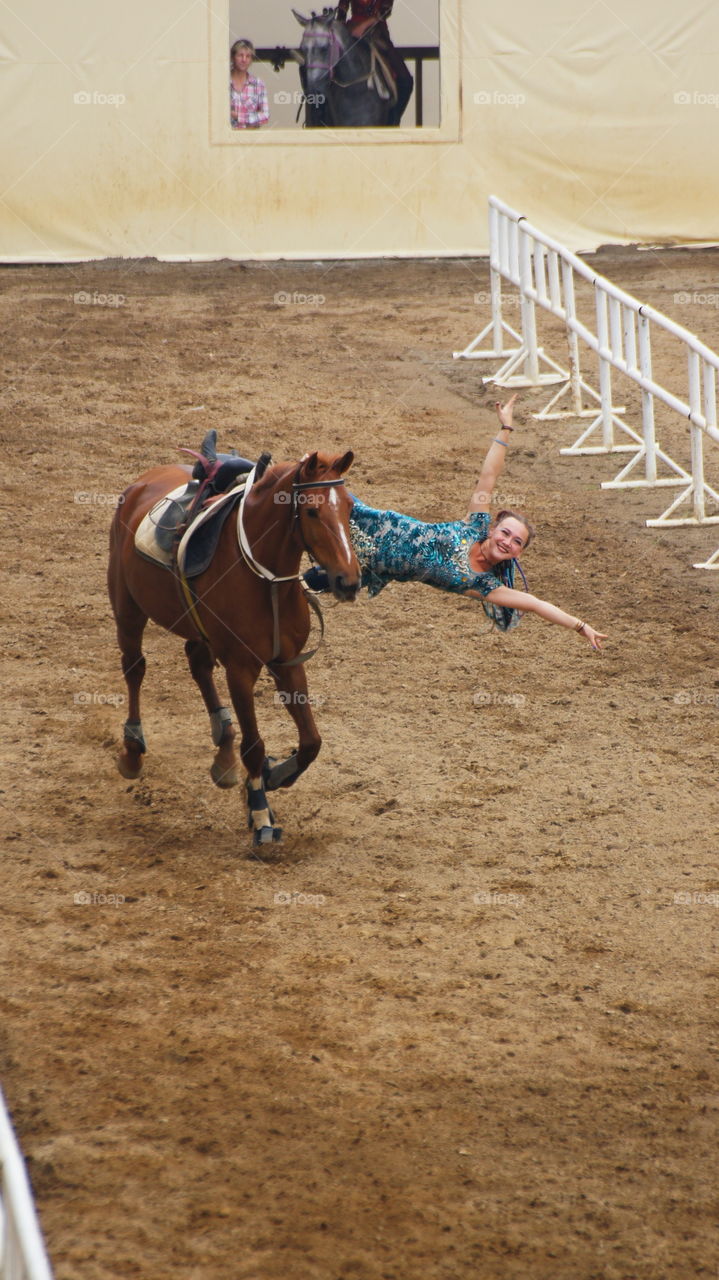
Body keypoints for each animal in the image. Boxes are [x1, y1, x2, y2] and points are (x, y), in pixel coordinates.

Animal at [107, 449, 360, 848]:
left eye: (349, 508)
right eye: (312, 512)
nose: (349, 581)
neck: (267, 580)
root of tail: (143, 481)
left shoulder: (288, 662)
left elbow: (311, 742)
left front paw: (275, 776)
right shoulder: (241, 669)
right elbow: (254, 746)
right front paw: (261, 816)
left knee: (198, 665)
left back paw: (224, 751)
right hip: (128, 609)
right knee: (134, 668)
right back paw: (133, 750)